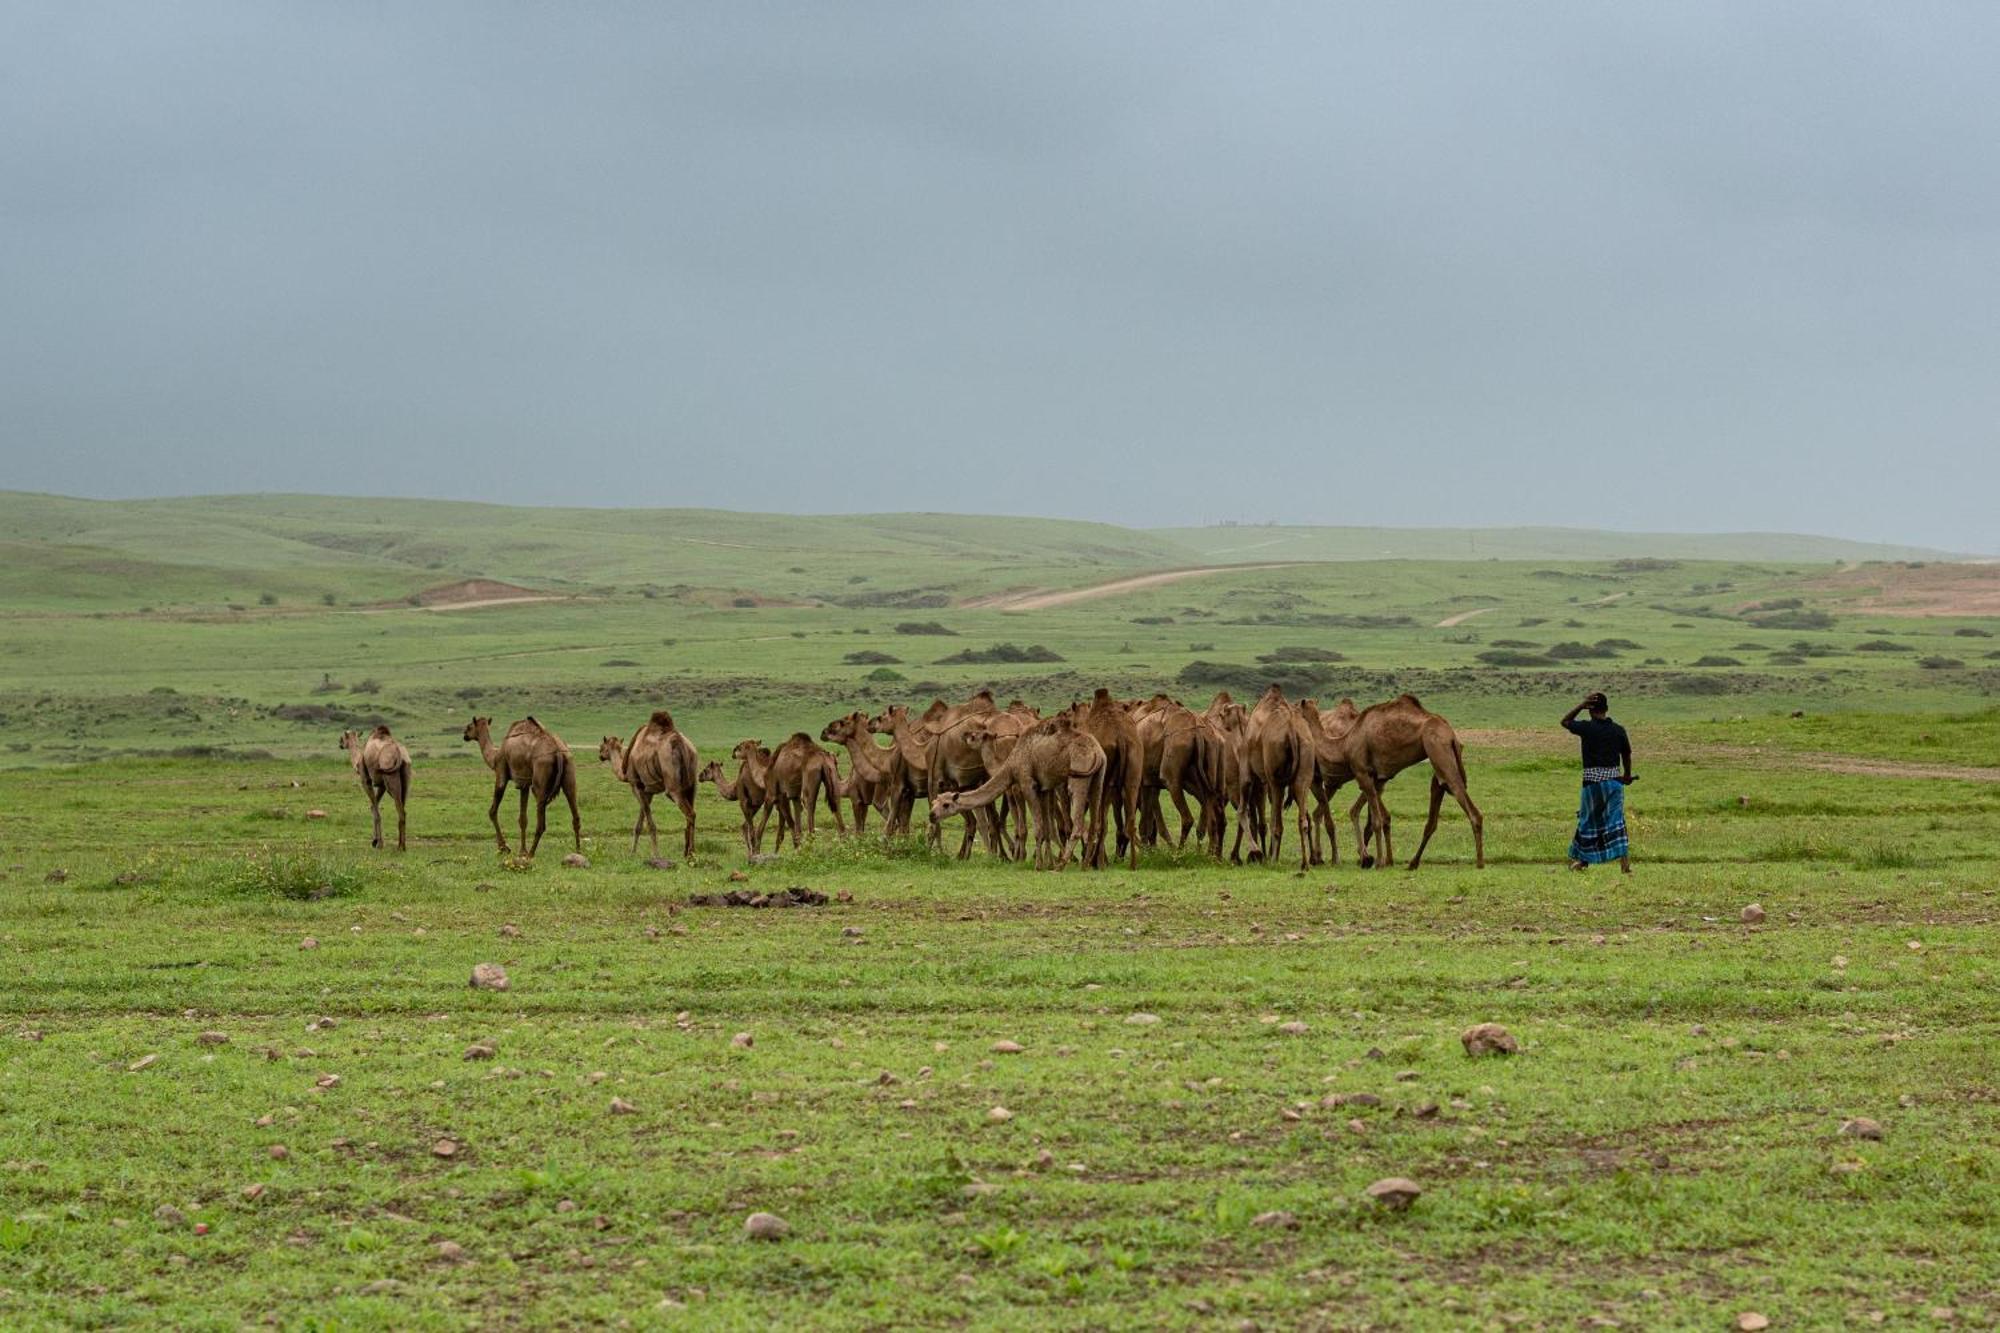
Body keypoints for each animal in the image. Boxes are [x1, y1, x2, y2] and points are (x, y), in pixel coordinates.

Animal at [470, 716, 584, 852]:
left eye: (469, 726)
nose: (465, 735)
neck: (495, 755)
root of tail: (558, 752)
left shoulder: (501, 769)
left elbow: (492, 811)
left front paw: (504, 847)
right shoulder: (523, 783)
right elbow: (523, 819)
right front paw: (521, 851)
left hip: (541, 775)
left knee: (541, 824)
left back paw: (531, 853)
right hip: (569, 770)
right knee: (574, 812)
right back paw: (578, 850)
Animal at [596, 712, 700, 856]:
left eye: (601, 747)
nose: (600, 756)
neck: (624, 771)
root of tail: (680, 743)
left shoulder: (636, 785)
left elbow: (649, 823)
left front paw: (655, 853)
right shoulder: (648, 791)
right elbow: (640, 822)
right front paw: (632, 853)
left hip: (673, 786)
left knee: (690, 813)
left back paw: (690, 852)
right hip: (692, 783)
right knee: (691, 811)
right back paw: (687, 852)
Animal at [936, 712, 1112, 868]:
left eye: (945, 804)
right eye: (935, 802)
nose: (932, 815)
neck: (1009, 765)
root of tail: (1097, 752)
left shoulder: (1024, 785)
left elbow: (1032, 828)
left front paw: (1034, 863)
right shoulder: (1043, 789)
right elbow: (1047, 828)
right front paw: (1046, 861)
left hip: (1079, 774)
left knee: (1078, 822)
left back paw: (1062, 865)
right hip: (1098, 776)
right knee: (1092, 823)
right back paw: (1085, 864)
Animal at [1336, 688, 1480, 868]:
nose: (1364, 861)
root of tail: (1452, 736)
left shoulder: (1366, 771)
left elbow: (1370, 816)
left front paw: (1375, 859)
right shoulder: (1378, 775)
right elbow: (1375, 814)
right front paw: (1380, 859)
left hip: (1437, 750)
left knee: (1464, 801)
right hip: (1443, 760)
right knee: (1438, 806)